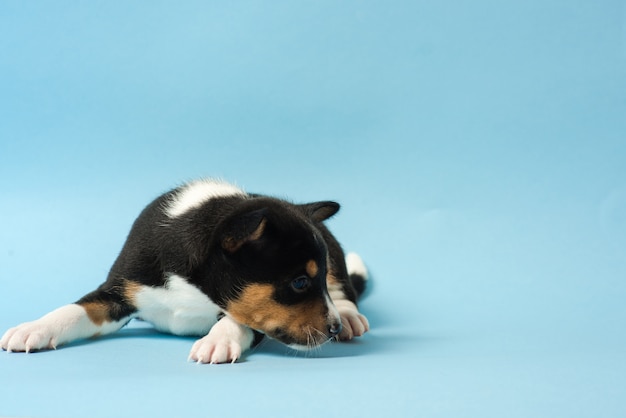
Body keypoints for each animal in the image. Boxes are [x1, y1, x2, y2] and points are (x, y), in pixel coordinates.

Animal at [0, 179, 368, 362]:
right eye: (300, 282)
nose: (332, 329)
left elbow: (237, 319)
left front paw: (217, 340)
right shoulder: (120, 290)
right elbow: (75, 310)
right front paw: (33, 328)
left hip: (336, 259)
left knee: (346, 289)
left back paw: (350, 316)